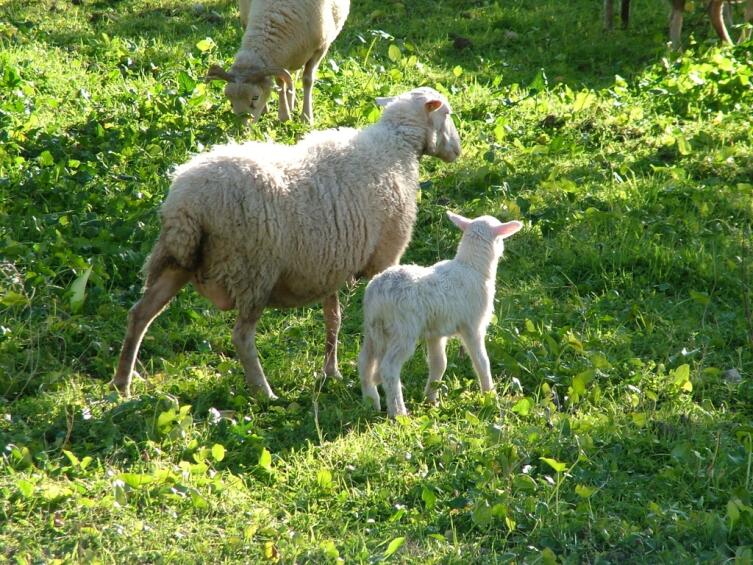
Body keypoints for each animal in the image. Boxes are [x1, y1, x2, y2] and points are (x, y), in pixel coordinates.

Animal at [111, 87, 462, 396]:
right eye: (447, 113)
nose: (457, 151)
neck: (396, 145)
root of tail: (187, 204)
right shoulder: (384, 258)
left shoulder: (332, 262)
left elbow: (333, 320)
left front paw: (331, 372)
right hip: (252, 271)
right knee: (241, 337)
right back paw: (264, 392)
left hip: (174, 259)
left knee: (140, 314)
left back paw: (121, 383)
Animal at [207, 0, 352, 123]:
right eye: (230, 101)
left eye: (255, 97)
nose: (240, 127)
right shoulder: (280, 59)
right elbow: (280, 83)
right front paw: (284, 115)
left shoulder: (320, 48)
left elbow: (307, 80)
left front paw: (306, 118)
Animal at [358, 209, 524, 416]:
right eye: (500, 239)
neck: (472, 267)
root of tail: (378, 293)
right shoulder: (472, 326)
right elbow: (481, 362)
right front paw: (490, 395)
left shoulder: (435, 333)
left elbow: (439, 363)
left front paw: (431, 399)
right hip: (403, 330)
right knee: (388, 368)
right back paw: (399, 412)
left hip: (372, 328)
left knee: (364, 362)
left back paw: (370, 402)